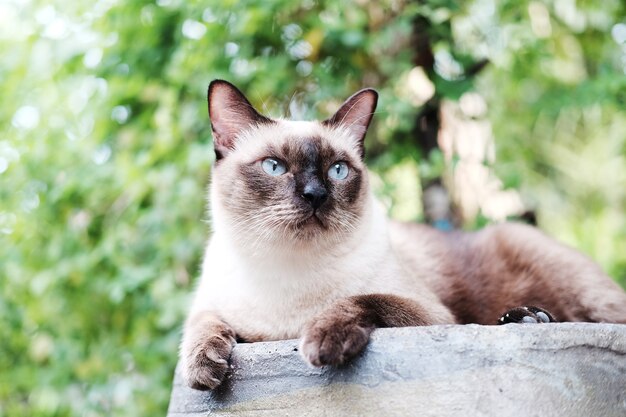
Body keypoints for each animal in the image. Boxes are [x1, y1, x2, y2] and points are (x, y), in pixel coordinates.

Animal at [179, 79, 624, 388]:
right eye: (274, 167)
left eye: (337, 170)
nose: (315, 195)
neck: (289, 273)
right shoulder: (219, 311)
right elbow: (201, 326)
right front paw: (203, 369)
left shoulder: (433, 316)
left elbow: (363, 299)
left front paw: (323, 339)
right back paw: (524, 318)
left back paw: (531, 318)